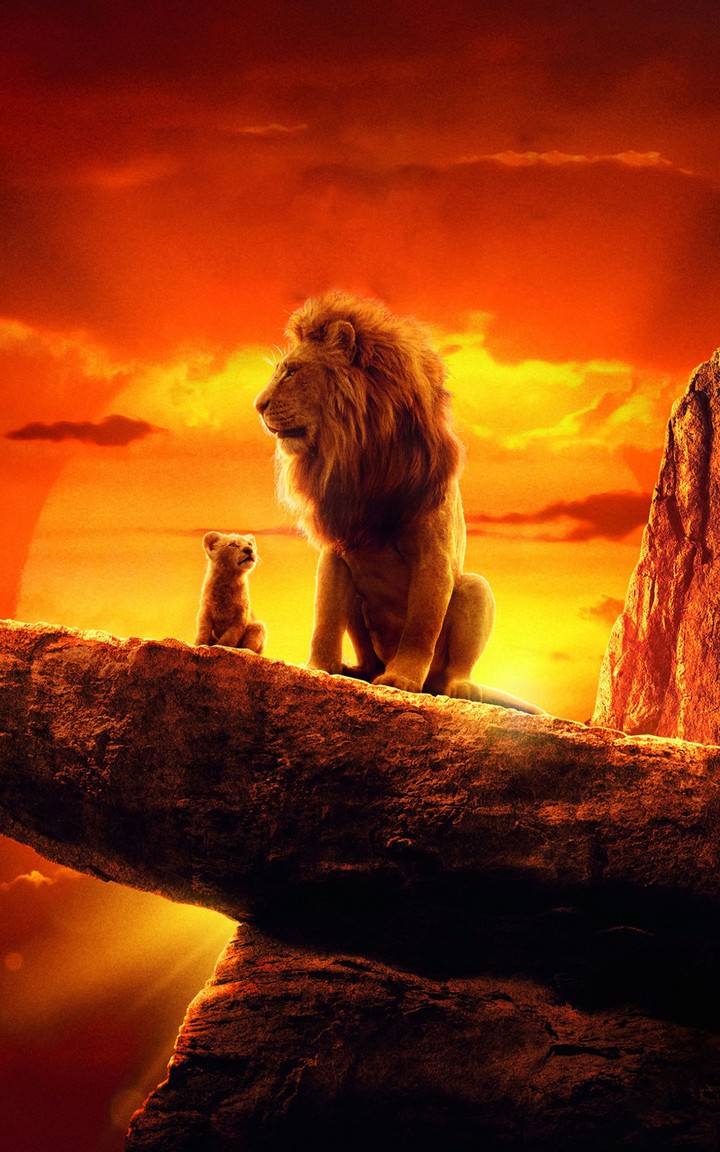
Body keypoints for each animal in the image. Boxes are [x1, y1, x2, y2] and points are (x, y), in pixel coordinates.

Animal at [254, 290, 541, 713]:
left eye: (291, 372)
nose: (257, 405)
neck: (361, 452)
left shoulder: (434, 556)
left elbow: (421, 626)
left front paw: (401, 679)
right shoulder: (337, 548)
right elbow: (325, 617)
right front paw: (318, 668)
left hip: (475, 588)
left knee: (451, 666)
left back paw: (459, 687)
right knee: (365, 652)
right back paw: (357, 671)